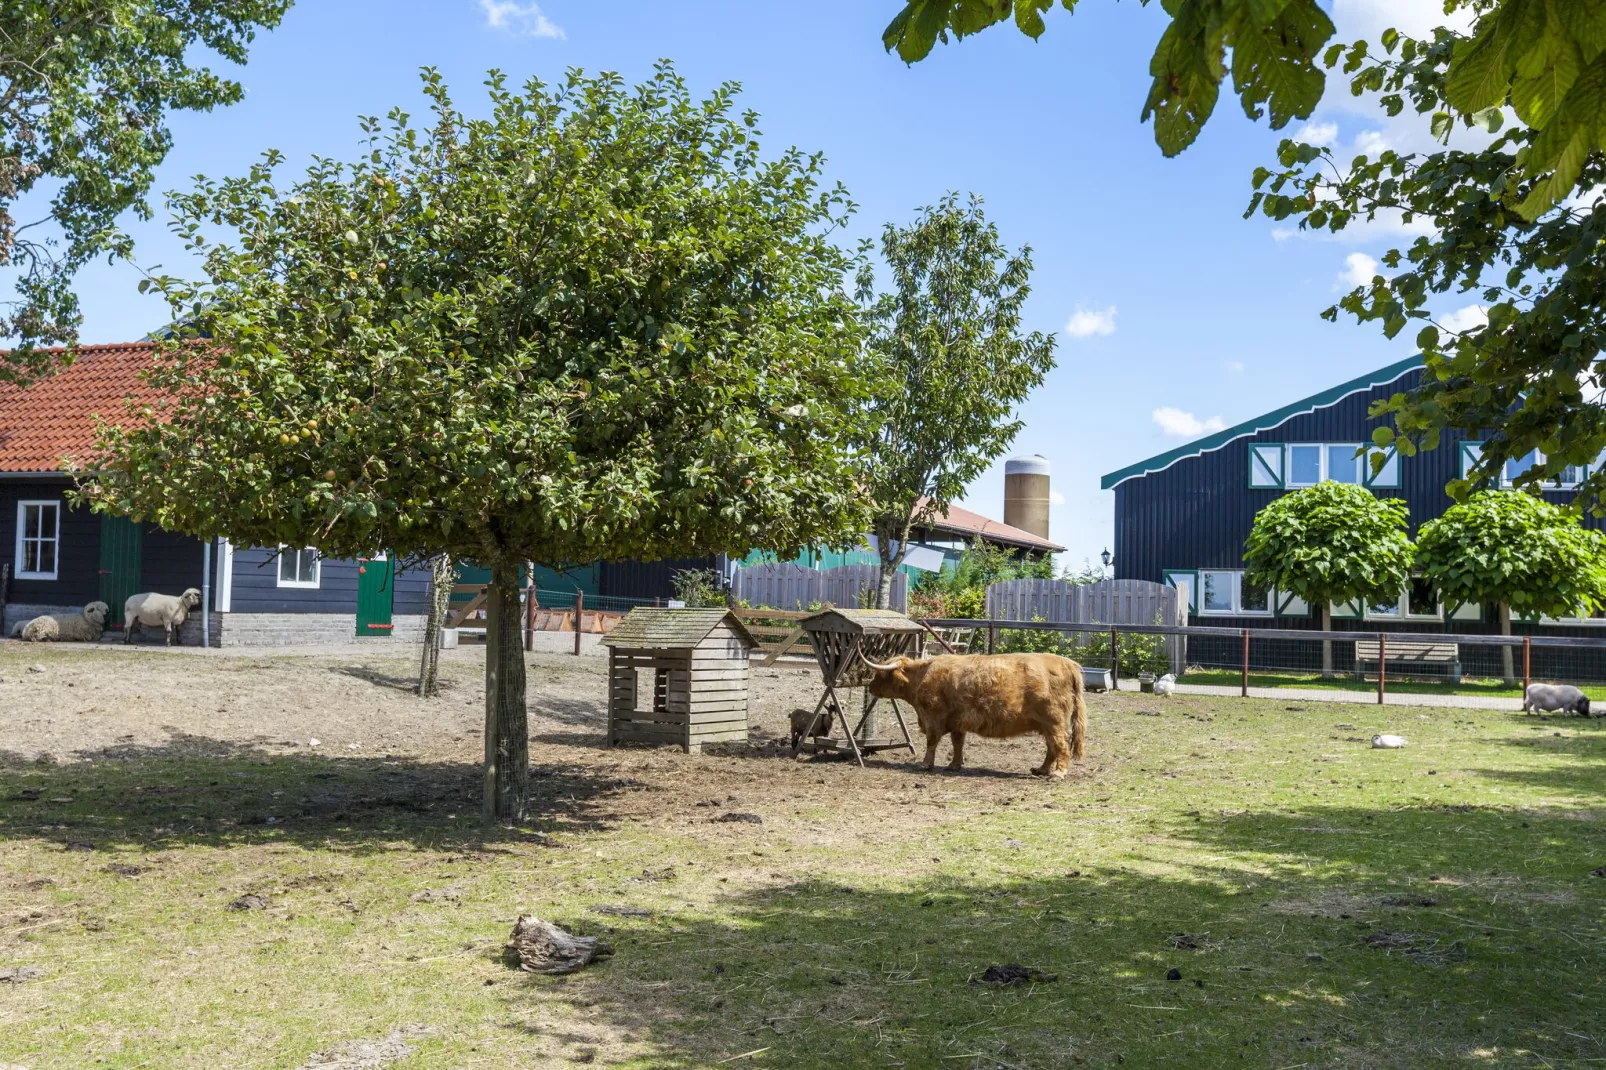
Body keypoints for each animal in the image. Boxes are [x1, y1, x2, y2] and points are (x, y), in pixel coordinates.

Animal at [860, 649, 1085, 774]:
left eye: (881, 675)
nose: (870, 687)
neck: (922, 676)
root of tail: (1068, 663)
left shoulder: (933, 717)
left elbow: (932, 741)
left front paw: (925, 763)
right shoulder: (957, 721)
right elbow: (957, 743)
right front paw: (954, 765)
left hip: (1053, 720)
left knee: (1060, 745)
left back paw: (1058, 773)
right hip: (1046, 724)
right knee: (1051, 747)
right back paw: (1042, 770)